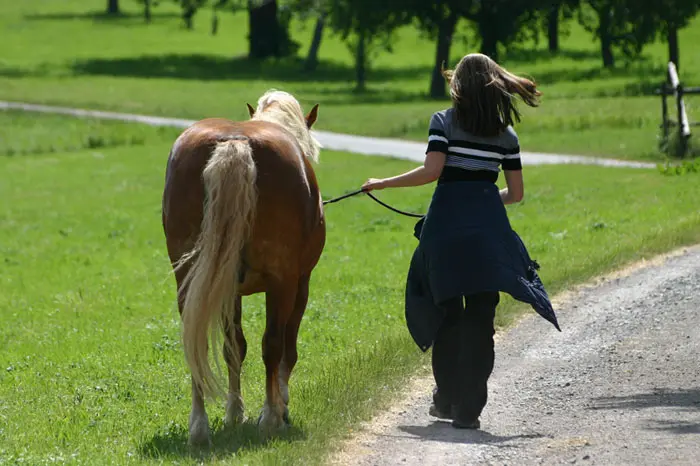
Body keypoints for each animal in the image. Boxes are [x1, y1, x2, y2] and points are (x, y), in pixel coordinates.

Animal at [163, 88, 326, 444]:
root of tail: (235, 142)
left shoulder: (228, 289)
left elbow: (234, 346)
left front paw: (234, 411)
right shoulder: (301, 284)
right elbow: (286, 349)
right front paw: (280, 405)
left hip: (191, 280)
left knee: (196, 343)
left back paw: (199, 425)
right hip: (282, 283)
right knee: (273, 345)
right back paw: (270, 418)